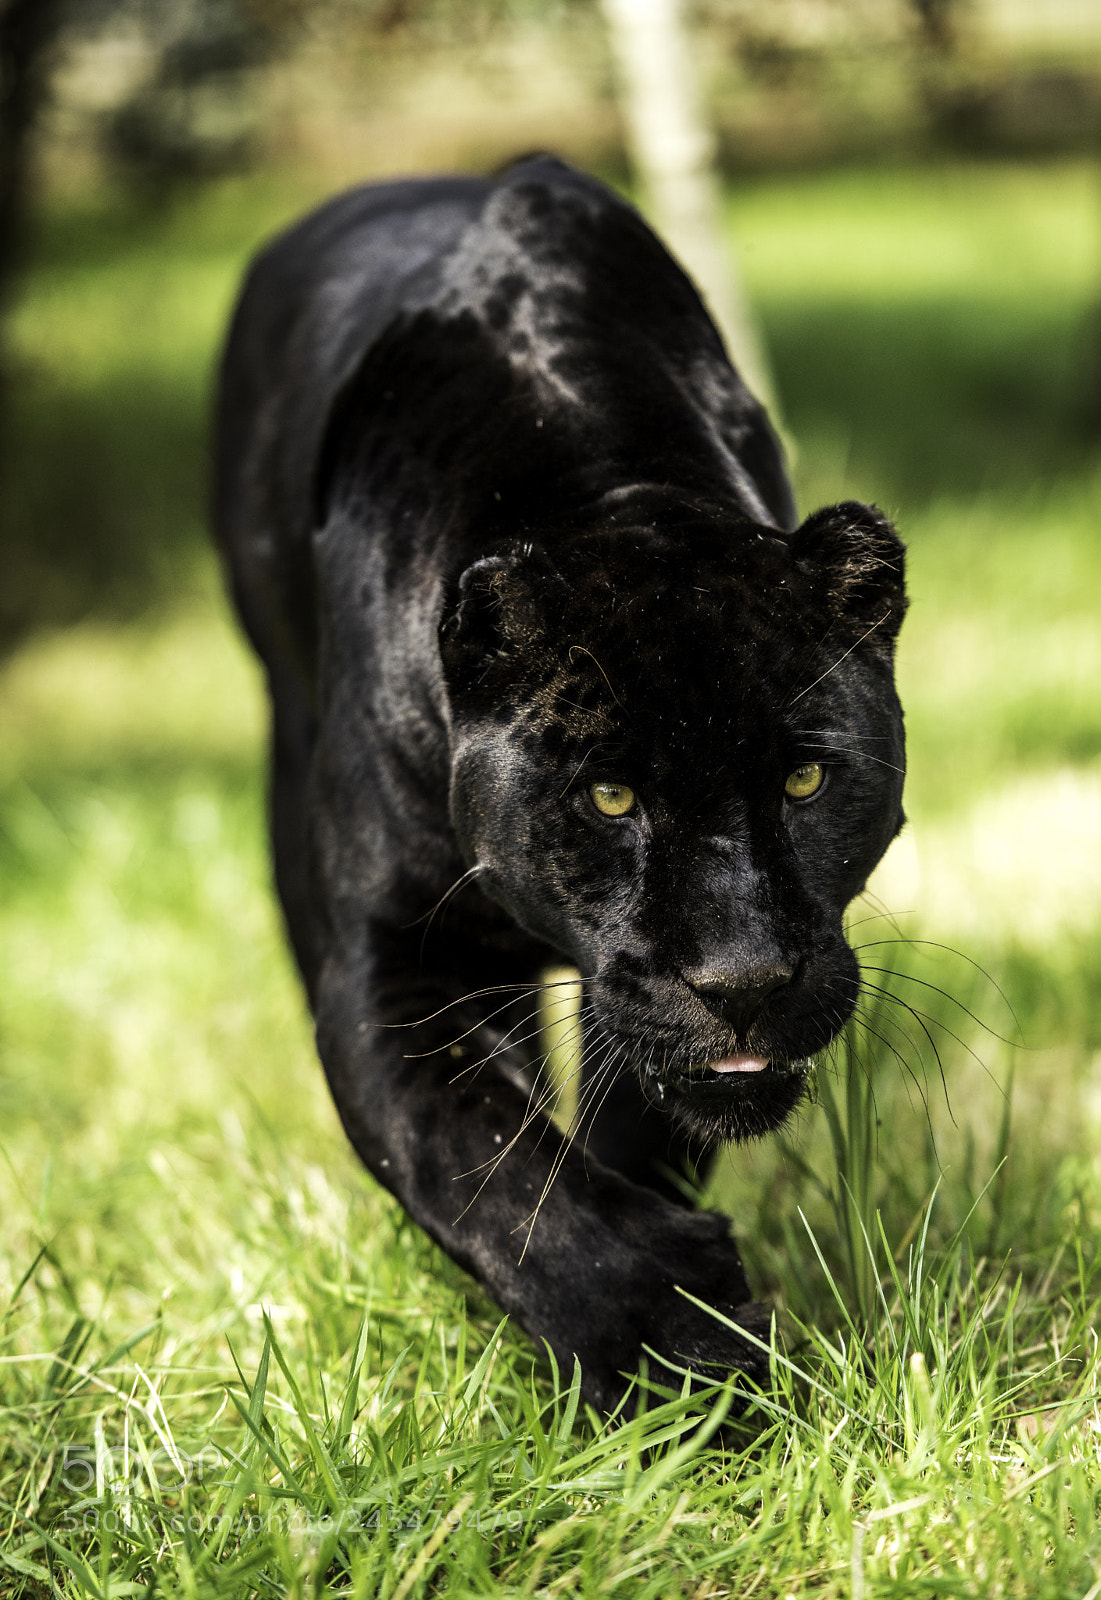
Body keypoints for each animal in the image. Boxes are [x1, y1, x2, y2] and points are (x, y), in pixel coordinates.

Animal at [213, 155, 907, 1414]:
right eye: (611, 798)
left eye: (805, 777)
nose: (746, 979)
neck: (599, 478)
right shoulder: (394, 956)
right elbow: (480, 1162)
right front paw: (682, 1372)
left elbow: (630, 1114)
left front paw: (687, 1346)